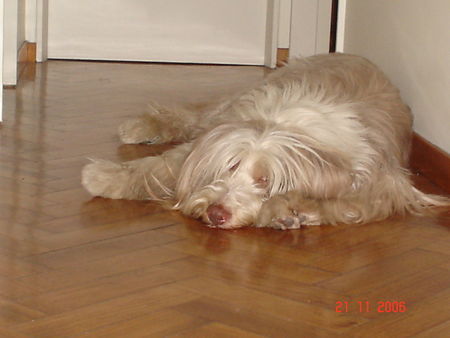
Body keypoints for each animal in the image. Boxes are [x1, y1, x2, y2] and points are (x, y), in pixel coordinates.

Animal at [81, 52, 446, 230]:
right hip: (231, 104)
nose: (216, 213)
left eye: (265, 181)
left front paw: (291, 210)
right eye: (228, 168)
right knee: (194, 115)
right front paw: (103, 177)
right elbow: (159, 167)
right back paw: (138, 127)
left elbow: (347, 204)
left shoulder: (383, 183)